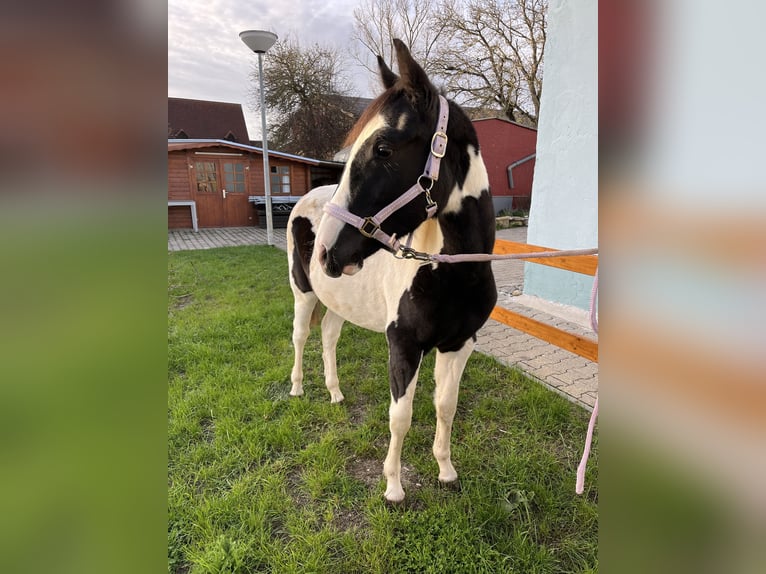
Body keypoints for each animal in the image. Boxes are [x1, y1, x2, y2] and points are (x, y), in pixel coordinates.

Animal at [288, 39, 498, 504]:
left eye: (383, 149)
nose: (326, 251)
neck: (450, 271)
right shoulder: (403, 344)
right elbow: (400, 415)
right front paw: (393, 488)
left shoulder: (459, 344)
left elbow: (445, 406)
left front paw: (446, 471)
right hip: (303, 294)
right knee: (301, 337)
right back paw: (296, 388)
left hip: (338, 302)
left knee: (328, 337)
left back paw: (335, 393)